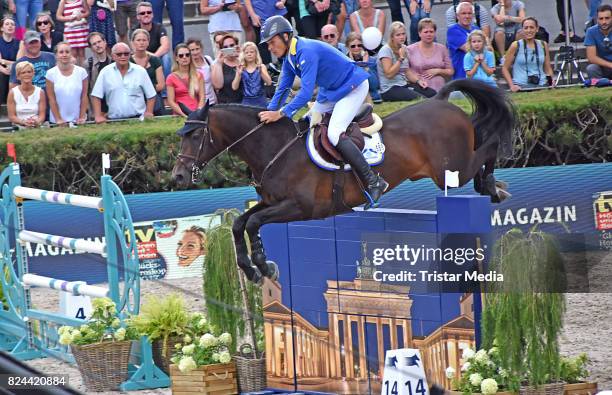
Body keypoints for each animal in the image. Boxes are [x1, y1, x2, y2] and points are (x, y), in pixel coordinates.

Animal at [172, 79, 516, 284]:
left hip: (453, 170)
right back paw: (492, 186)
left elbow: (254, 224)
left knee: (489, 146)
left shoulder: (299, 207)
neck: (275, 149)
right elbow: (239, 223)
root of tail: (442, 101)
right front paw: (251, 269)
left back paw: (492, 187)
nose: (178, 175)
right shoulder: (270, 202)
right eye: (181, 135)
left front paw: (263, 265)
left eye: (194, 135)